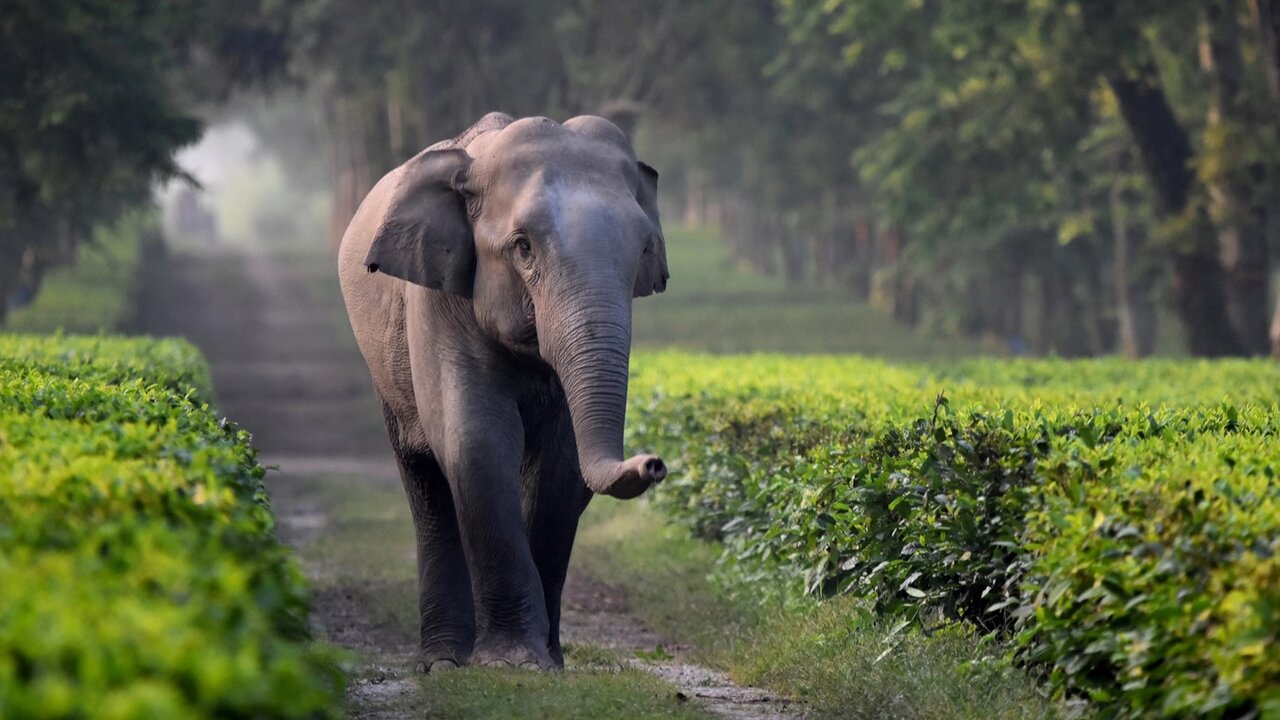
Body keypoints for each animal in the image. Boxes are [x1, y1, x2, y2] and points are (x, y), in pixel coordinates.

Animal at [340, 110, 670, 666]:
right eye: (523, 248)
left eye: (643, 249)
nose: (653, 463)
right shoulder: (438, 301)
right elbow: (478, 440)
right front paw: (513, 662)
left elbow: (560, 463)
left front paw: (546, 662)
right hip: (385, 371)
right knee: (424, 478)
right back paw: (444, 660)